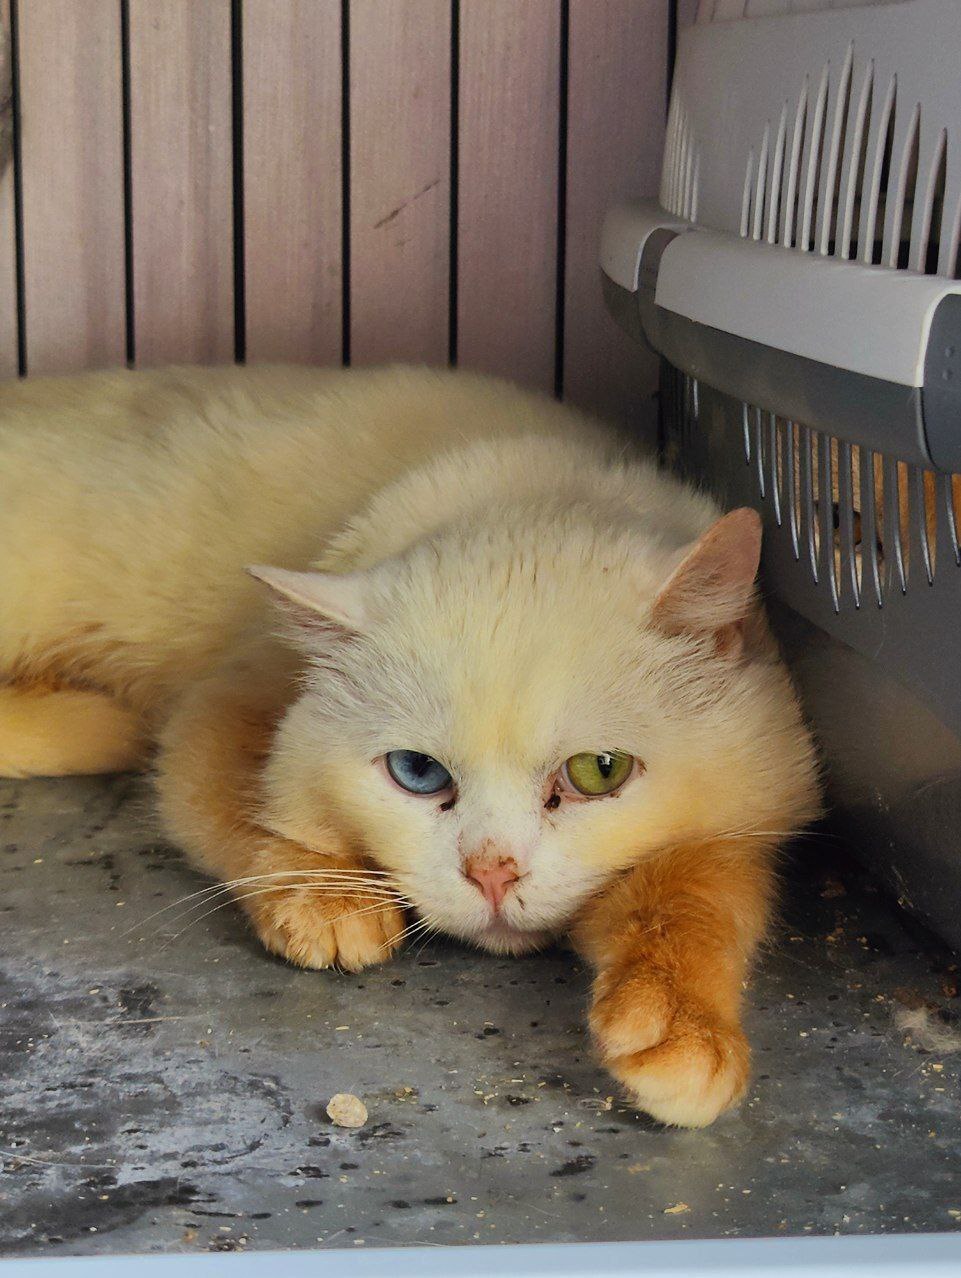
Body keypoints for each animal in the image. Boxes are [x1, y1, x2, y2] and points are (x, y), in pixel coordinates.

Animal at [0, 365, 822, 1124]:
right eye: (418, 773)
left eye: (598, 772)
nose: (491, 874)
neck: (531, 487)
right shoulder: (230, 697)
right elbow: (253, 805)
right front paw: (327, 899)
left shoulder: (743, 815)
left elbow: (692, 897)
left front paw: (679, 1028)